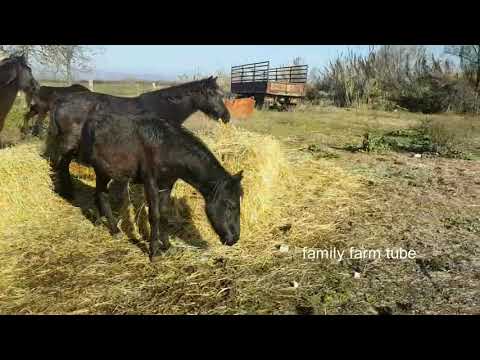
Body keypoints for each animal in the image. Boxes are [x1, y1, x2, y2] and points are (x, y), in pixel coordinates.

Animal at [46, 76, 231, 200]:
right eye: (211, 93)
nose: (226, 116)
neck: (164, 107)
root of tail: (60, 102)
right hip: (68, 144)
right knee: (60, 164)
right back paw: (67, 193)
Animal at [75, 109, 244, 262]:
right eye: (231, 205)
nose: (234, 239)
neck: (167, 147)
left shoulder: (166, 185)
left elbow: (164, 214)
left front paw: (168, 246)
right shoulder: (151, 183)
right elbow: (154, 216)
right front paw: (154, 252)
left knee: (99, 193)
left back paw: (99, 221)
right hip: (101, 170)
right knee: (102, 195)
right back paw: (115, 230)